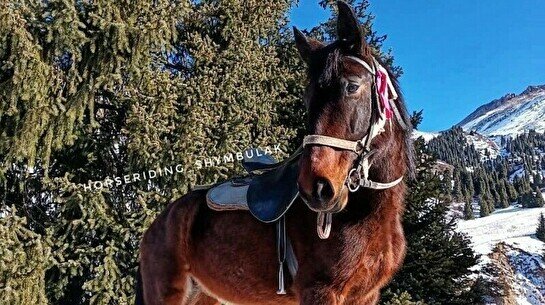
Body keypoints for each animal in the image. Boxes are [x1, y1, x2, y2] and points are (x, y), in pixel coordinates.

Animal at [136, 1, 412, 302]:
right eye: (307, 97)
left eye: (352, 86)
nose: (316, 187)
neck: (367, 212)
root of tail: (156, 225)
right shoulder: (320, 291)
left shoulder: (366, 295)